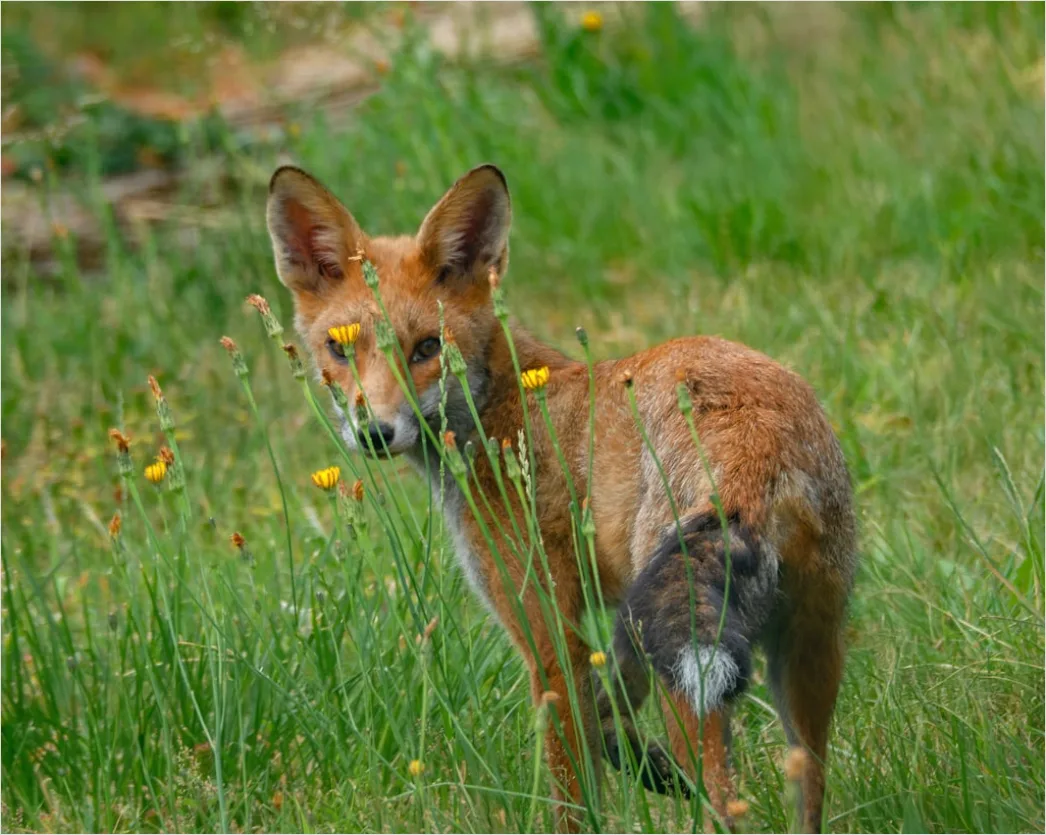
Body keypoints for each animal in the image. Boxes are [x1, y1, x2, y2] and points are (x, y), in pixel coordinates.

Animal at [265, 163, 857, 833]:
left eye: (426, 349)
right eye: (340, 349)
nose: (374, 433)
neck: (503, 409)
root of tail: (755, 429)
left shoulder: (548, 635)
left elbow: (573, 791)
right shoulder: (623, 621)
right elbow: (608, 706)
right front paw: (639, 758)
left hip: (696, 678)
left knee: (723, 806)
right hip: (806, 654)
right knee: (808, 792)